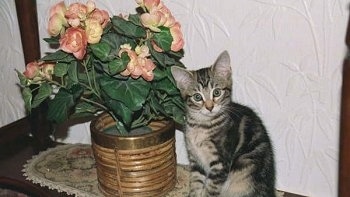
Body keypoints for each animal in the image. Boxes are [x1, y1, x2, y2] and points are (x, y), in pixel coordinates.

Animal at [171, 51, 274, 197]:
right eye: (197, 97)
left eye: (217, 92)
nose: (209, 107)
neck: (202, 125)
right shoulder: (195, 161)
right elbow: (196, 184)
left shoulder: (220, 164)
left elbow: (210, 190)